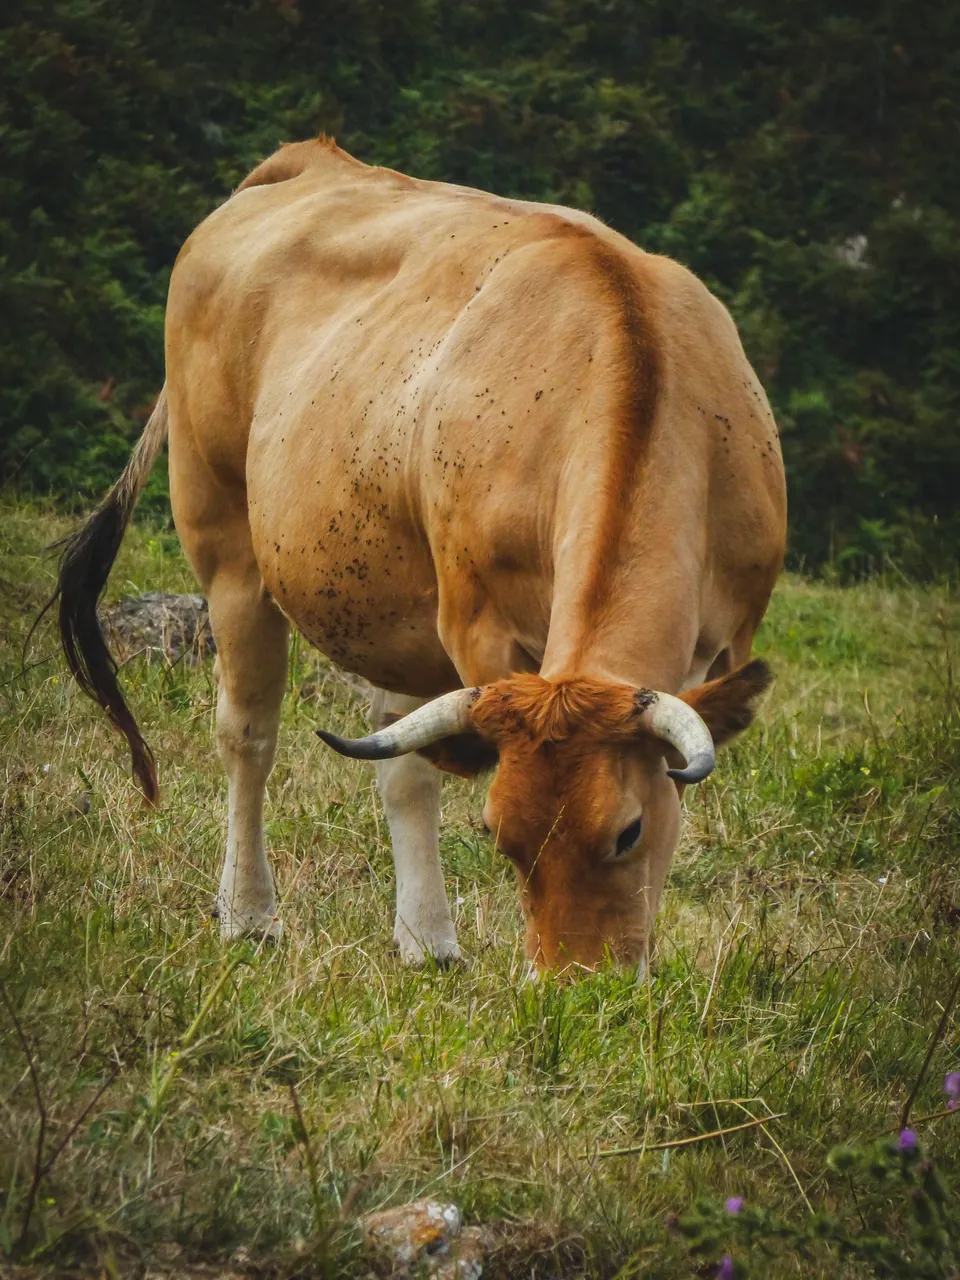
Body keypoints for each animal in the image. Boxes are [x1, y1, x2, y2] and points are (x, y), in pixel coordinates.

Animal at [53, 137, 786, 975]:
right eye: (503, 839)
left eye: (627, 830)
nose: (574, 987)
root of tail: (309, 160)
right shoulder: (478, 629)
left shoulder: (726, 640)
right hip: (227, 545)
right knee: (248, 734)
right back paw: (248, 913)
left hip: (390, 603)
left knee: (399, 762)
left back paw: (425, 938)